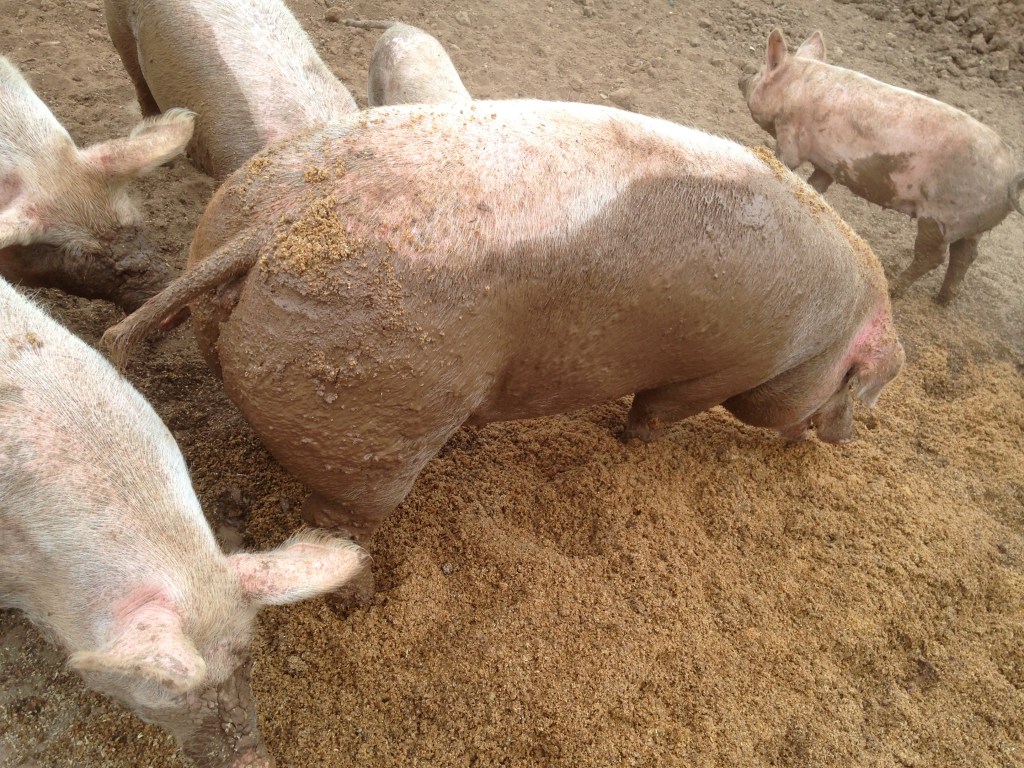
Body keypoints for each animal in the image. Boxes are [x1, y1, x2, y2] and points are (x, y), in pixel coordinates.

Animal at [102, 100, 905, 541]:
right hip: (372, 411)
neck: (822, 334)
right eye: (857, 385)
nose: (845, 437)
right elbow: (655, 414)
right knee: (344, 518)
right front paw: (630, 446)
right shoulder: (722, 369)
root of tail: (276, 223)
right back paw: (355, 597)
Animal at [738, 28, 1024, 304]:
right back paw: (941, 300)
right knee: (965, 256)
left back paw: (896, 289)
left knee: (933, 257)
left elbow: (784, 163)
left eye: (762, 71)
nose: (742, 78)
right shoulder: (830, 164)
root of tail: (1011, 176)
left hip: (941, 215)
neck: (793, 86)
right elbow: (816, 185)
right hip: (973, 222)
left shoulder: (790, 135)